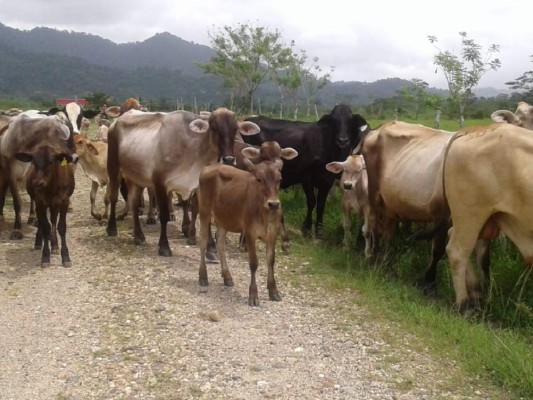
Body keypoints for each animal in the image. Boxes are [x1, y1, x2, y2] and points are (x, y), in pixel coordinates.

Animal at [243, 104, 368, 238]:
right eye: (334, 121)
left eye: (350, 120)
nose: (342, 140)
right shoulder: (306, 177)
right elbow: (311, 201)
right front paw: (306, 228)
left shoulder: (327, 181)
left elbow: (321, 204)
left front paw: (319, 229)